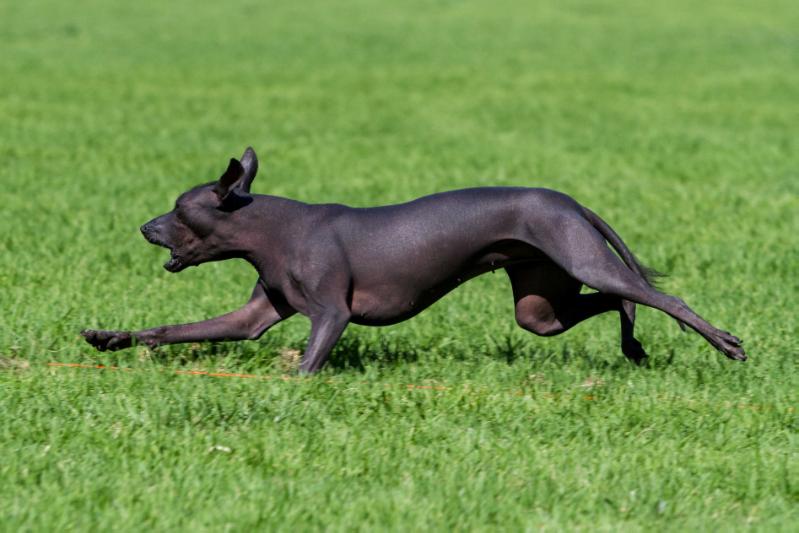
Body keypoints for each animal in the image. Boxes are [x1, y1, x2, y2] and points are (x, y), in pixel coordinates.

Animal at [79, 145, 744, 370]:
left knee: (658, 295)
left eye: (178, 208)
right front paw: (108, 338)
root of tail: (568, 200)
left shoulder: (332, 315)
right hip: (540, 306)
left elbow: (306, 365)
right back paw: (633, 347)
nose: (144, 226)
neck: (270, 230)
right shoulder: (252, 319)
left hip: (579, 259)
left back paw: (725, 343)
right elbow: (171, 329)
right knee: (612, 300)